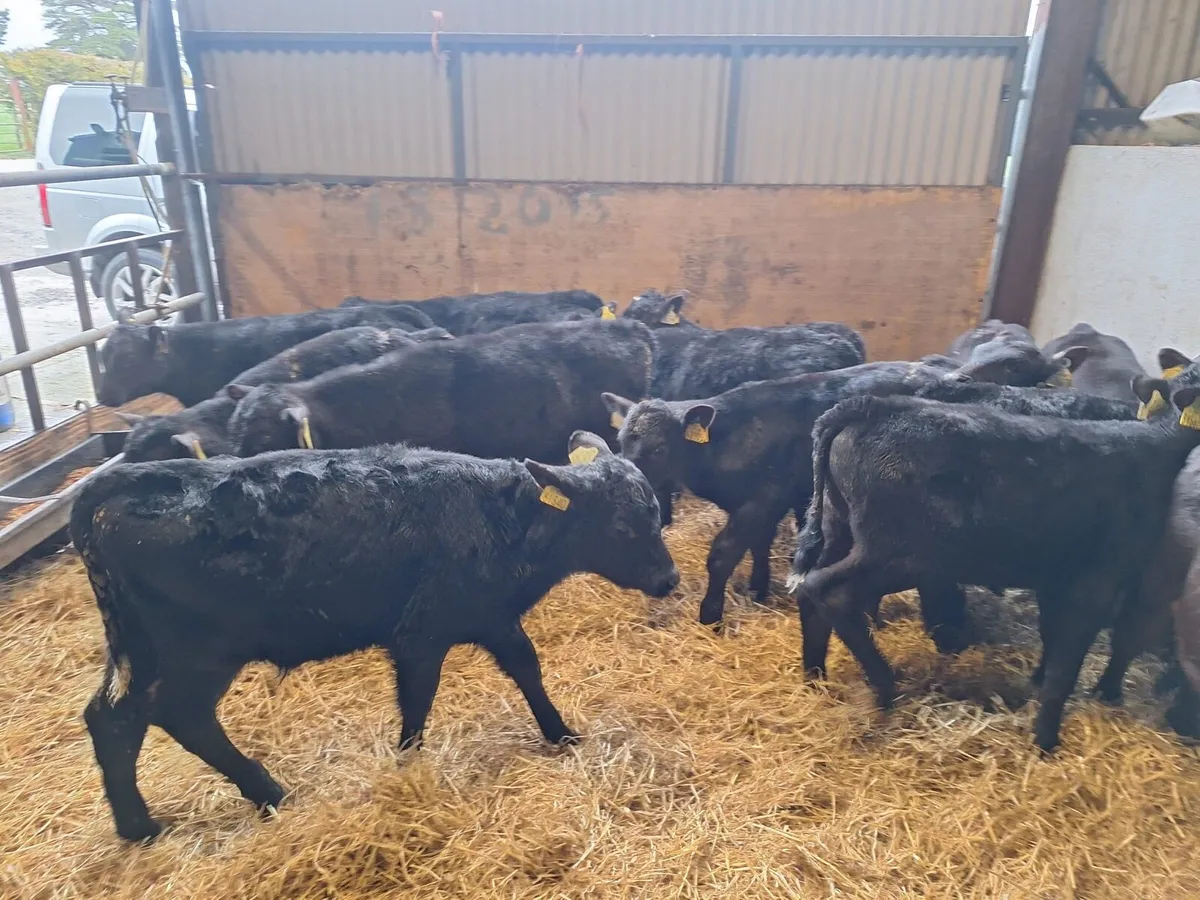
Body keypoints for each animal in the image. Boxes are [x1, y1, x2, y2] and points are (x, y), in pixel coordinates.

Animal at [71, 431, 679, 842]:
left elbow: (525, 665)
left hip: (142, 647)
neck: (496, 516)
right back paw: (245, 797)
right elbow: (418, 697)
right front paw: (407, 767)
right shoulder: (421, 632)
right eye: (623, 525)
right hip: (192, 651)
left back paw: (145, 822)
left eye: (655, 512)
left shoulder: (490, 616)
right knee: (163, 715)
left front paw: (561, 732)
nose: (669, 579)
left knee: (115, 716)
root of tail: (125, 481)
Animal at [602, 362, 954, 626]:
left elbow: (723, 554)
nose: (628, 478)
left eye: (659, 448)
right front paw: (758, 589)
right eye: (621, 441)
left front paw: (711, 615)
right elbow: (759, 544)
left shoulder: (765, 498)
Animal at [789, 363, 1200, 753]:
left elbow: (1053, 639)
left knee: (809, 591)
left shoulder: (1057, 574)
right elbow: (1069, 660)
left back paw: (815, 675)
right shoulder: (1100, 578)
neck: (1153, 447)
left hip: (838, 526)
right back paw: (886, 685)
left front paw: (1038, 688)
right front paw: (1046, 740)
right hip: (896, 554)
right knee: (831, 592)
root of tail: (868, 405)